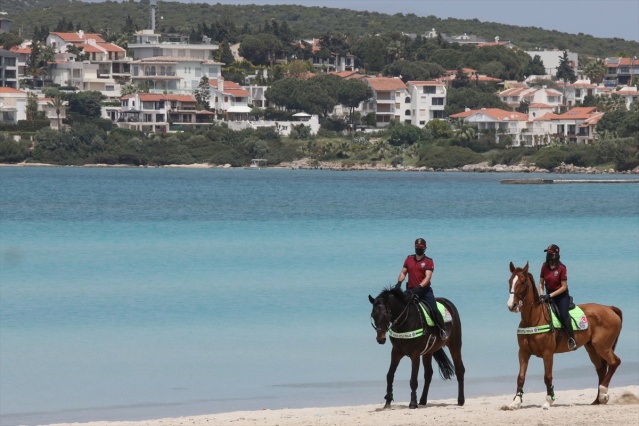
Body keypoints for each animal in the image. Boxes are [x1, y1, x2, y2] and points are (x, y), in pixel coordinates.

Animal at [508, 262, 624, 408]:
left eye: (523, 282)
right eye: (510, 281)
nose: (511, 305)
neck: (533, 319)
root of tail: (610, 308)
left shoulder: (548, 353)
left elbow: (548, 377)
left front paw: (548, 400)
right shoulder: (523, 352)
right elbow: (521, 377)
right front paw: (516, 402)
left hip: (602, 346)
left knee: (615, 362)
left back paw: (603, 393)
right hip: (592, 348)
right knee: (601, 369)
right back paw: (597, 400)